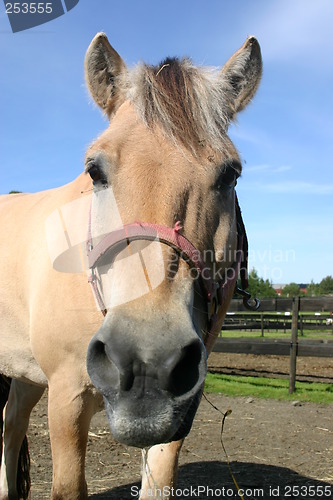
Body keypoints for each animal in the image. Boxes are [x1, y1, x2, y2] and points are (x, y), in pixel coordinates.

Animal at [0, 33, 260, 498]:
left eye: (230, 174)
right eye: (95, 171)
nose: (146, 363)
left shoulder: (178, 410)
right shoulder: (65, 397)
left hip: (26, 373)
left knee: (11, 424)